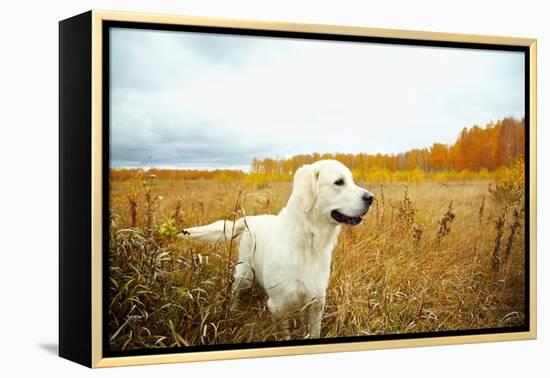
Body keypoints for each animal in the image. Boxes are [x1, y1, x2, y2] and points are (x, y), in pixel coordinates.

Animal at [179, 159, 374, 340]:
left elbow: (314, 332)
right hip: (245, 274)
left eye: (351, 180)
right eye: (339, 182)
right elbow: (284, 334)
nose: (371, 197)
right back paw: (233, 310)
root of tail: (250, 219)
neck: (308, 241)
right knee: (235, 290)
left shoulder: (317, 301)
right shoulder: (278, 306)